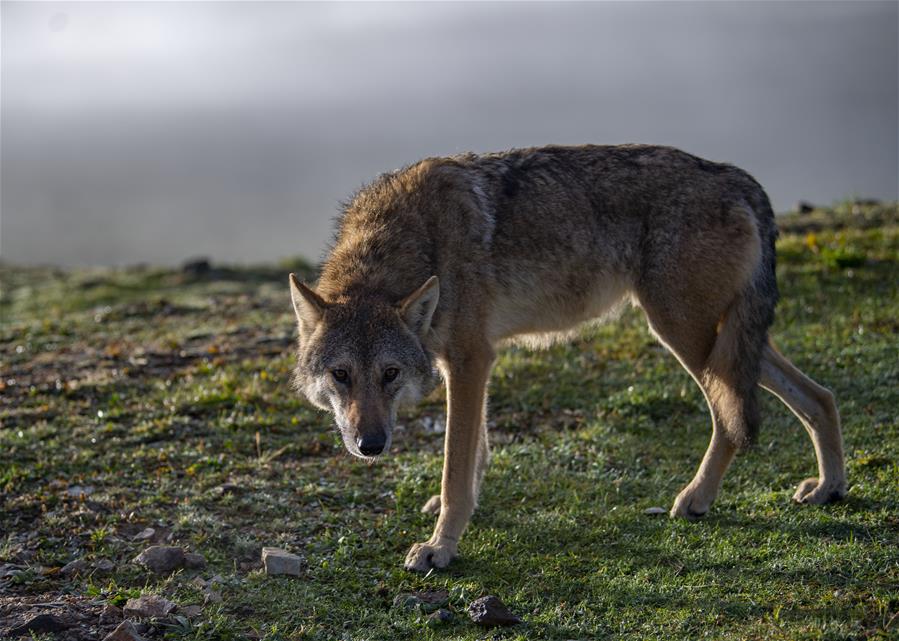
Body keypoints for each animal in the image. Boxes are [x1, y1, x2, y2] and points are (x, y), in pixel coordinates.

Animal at [290, 144, 852, 568]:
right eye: (341, 375)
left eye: (390, 373)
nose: (371, 445)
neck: (414, 240)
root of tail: (739, 178)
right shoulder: (470, 362)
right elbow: (476, 453)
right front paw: (464, 512)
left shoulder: (471, 359)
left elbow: (455, 466)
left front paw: (440, 547)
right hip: (727, 341)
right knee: (821, 396)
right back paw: (829, 487)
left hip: (685, 336)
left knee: (731, 420)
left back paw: (696, 499)